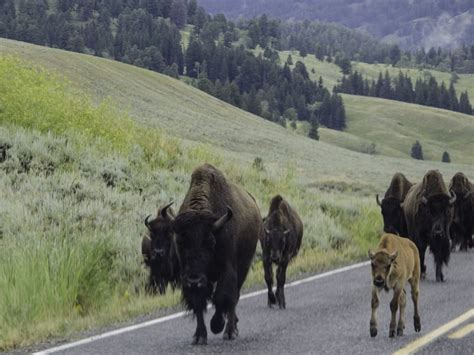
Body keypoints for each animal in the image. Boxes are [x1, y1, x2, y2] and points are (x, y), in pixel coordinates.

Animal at [170, 165, 262, 346]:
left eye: (210, 242)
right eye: (180, 242)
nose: (194, 280)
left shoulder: (227, 269)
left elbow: (222, 297)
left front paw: (217, 325)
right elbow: (198, 304)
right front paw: (199, 336)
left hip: (244, 267)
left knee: (234, 297)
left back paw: (230, 331)